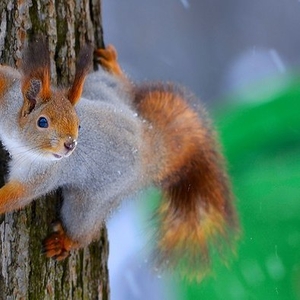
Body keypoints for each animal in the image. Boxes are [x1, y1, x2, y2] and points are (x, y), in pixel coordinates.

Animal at [0, 38, 238, 282]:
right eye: (43, 122)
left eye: (78, 124)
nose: (70, 145)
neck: (19, 139)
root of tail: (148, 145)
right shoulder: (10, 94)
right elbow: (5, 76)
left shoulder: (43, 175)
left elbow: (17, 196)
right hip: (101, 89)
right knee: (122, 88)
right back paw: (113, 66)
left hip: (93, 200)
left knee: (84, 228)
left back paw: (65, 242)